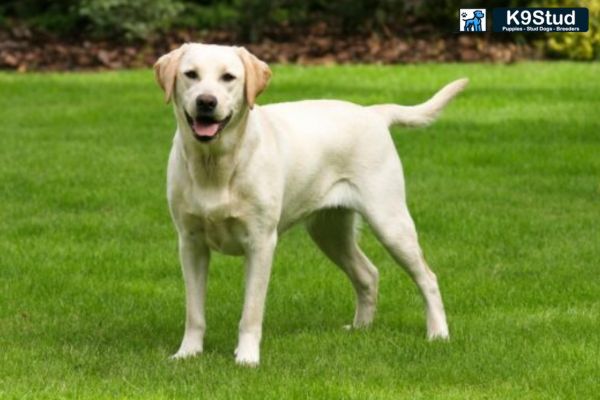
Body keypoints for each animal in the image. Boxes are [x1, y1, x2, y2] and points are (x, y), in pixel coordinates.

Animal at [155, 43, 468, 366]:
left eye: (228, 77)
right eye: (191, 74)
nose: (206, 102)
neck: (215, 164)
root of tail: (373, 113)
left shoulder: (260, 242)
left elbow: (251, 312)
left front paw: (247, 358)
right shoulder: (190, 243)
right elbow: (194, 311)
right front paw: (188, 353)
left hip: (390, 222)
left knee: (428, 278)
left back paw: (438, 333)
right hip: (329, 232)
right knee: (368, 274)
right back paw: (361, 328)